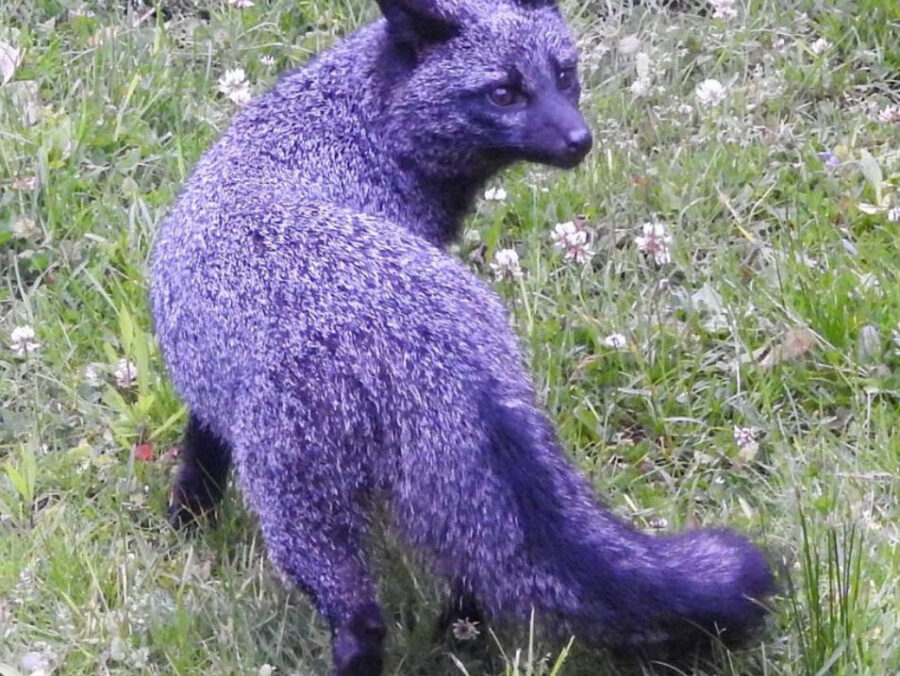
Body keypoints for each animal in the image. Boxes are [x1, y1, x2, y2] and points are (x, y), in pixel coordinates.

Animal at [149, 0, 774, 674]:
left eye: (564, 75)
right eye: (504, 92)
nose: (579, 140)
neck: (344, 136)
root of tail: (428, 336)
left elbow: (198, 456)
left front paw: (184, 522)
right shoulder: (210, 389)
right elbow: (199, 460)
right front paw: (186, 525)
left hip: (302, 501)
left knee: (388, 609)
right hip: (312, 500)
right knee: (442, 583)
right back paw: (456, 636)